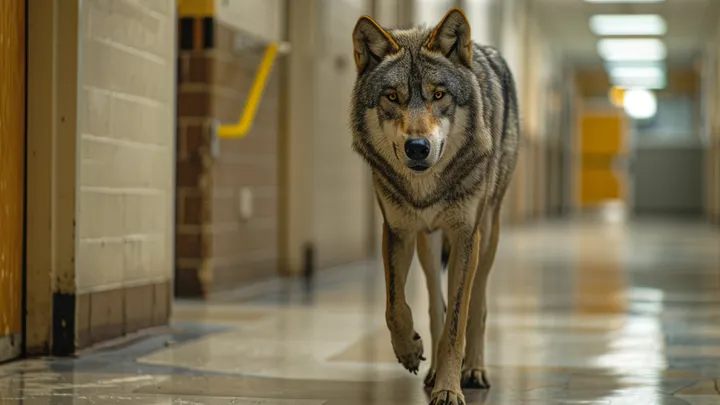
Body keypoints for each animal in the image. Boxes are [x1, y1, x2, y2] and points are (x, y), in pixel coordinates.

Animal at [349, 8, 520, 405]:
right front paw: (409, 351)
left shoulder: (464, 237)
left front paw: (449, 388)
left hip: (487, 236)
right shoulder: (397, 231)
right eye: (392, 96)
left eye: (439, 94)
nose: (417, 147)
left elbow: (458, 323)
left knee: (479, 304)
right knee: (433, 301)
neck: (426, 189)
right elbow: (395, 306)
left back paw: (473, 370)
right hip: (428, 243)